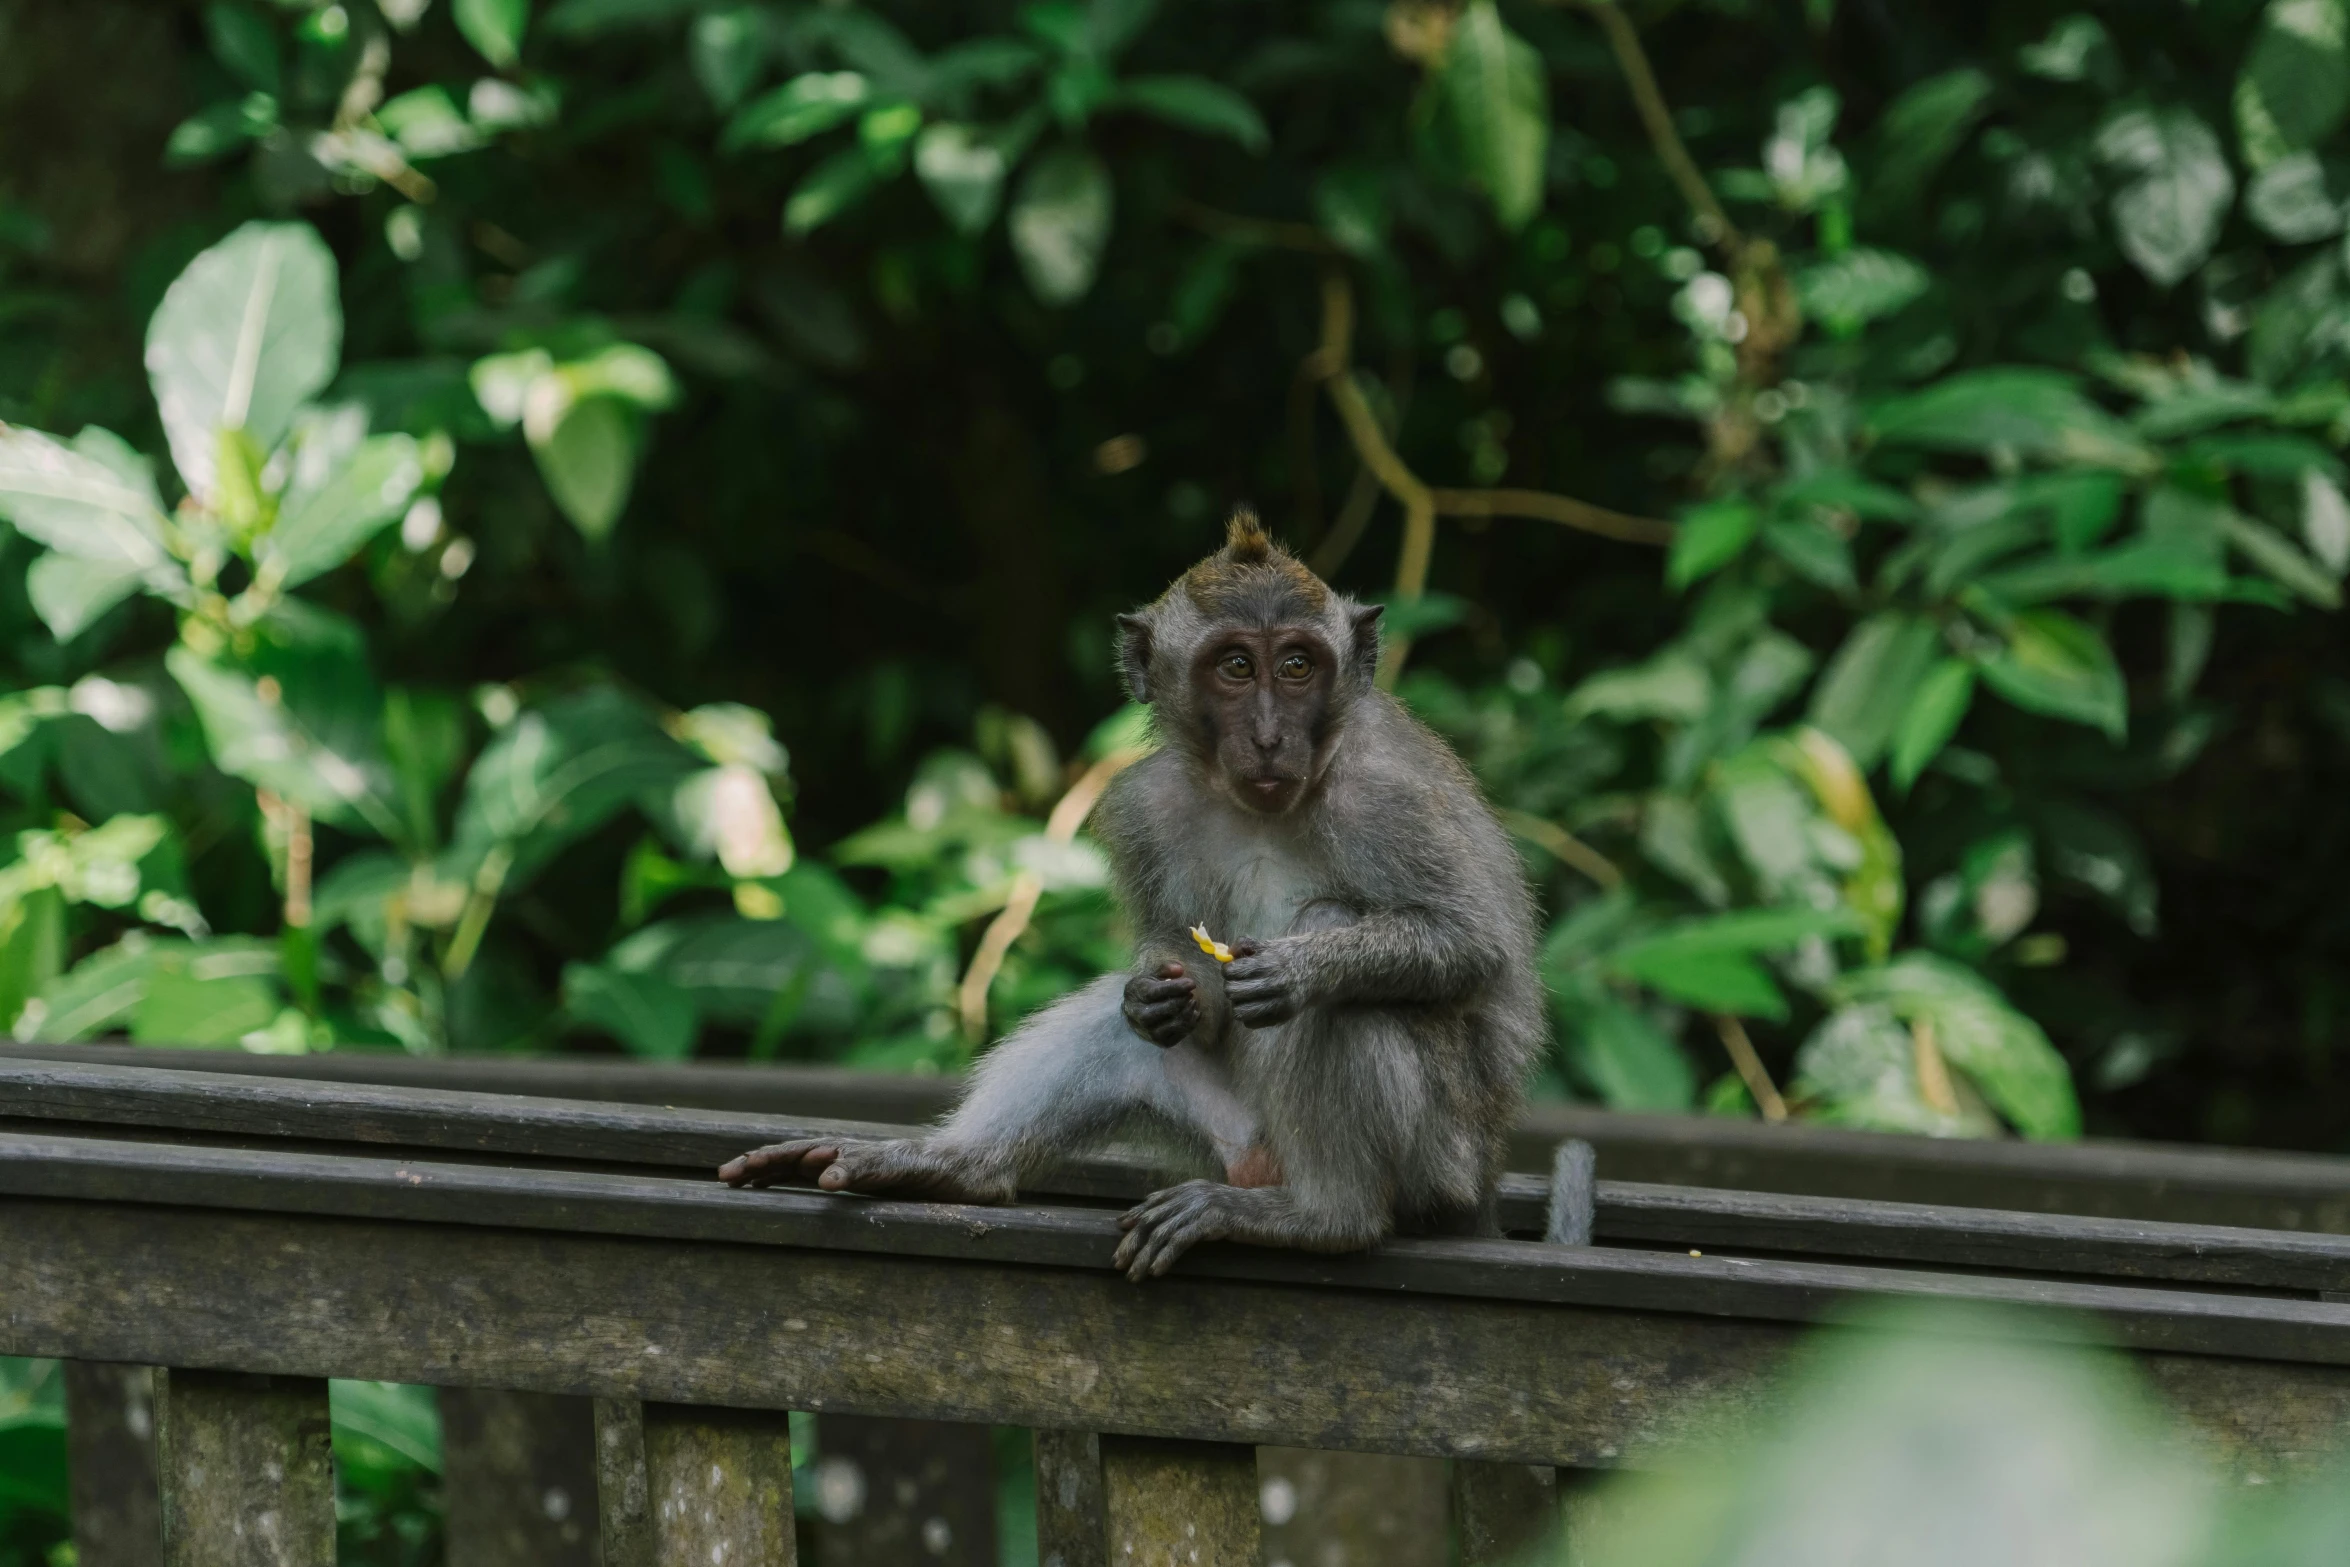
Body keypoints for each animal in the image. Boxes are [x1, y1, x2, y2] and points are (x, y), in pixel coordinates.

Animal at [723, 509, 1550, 1278]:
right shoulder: (1144, 805)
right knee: (1121, 1035)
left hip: (1440, 1159)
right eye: (1236, 667)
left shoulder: (1388, 795)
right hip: (1229, 1131)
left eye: (1296, 665)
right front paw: (1150, 992)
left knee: (1343, 978)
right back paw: (953, 1167)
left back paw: (1324, 1217)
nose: (1270, 736)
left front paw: (1301, 968)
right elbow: (1173, 952)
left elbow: (1472, 945)